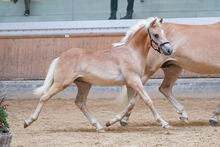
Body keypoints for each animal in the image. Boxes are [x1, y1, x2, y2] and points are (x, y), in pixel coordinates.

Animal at [23, 17, 174, 132]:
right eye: (156, 35)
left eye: (164, 33)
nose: (169, 50)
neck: (132, 52)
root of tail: (60, 58)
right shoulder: (133, 80)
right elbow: (147, 100)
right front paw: (164, 123)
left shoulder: (131, 83)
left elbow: (131, 103)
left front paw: (110, 121)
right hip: (62, 83)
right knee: (44, 97)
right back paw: (28, 121)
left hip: (84, 84)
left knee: (80, 103)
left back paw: (99, 126)